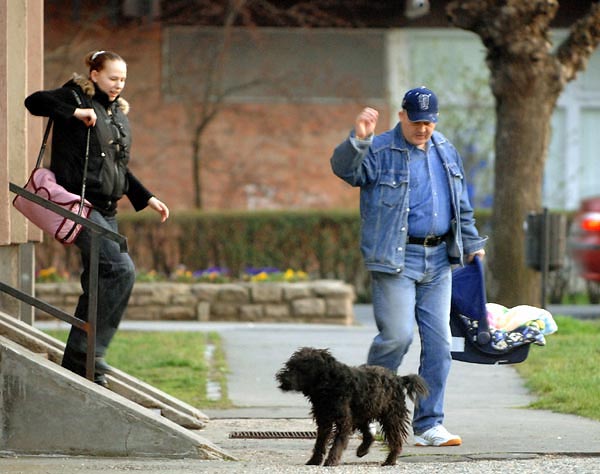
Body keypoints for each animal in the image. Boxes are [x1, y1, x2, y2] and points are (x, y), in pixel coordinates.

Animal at [276, 346, 426, 464]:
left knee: (396, 441)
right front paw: (314, 461)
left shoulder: (344, 420)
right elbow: (320, 442)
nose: (282, 378)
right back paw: (362, 450)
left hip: (391, 417)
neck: (329, 383)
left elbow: (337, 442)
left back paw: (390, 460)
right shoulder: (324, 420)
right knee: (369, 435)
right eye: (290, 366)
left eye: (301, 369)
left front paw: (331, 461)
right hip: (362, 412)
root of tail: (398, 378)